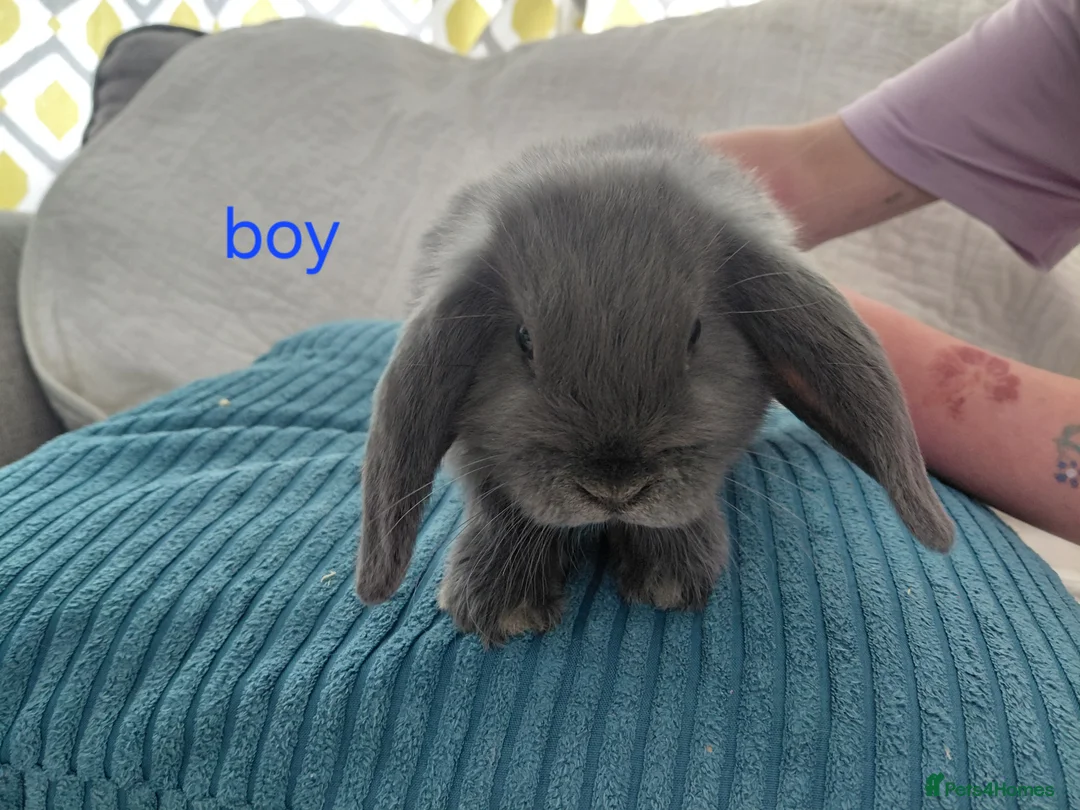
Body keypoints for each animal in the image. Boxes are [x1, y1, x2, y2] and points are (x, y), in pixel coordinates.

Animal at [354, 121, 955, 647]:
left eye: (696, 332)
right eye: (524, 339)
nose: (614, 488)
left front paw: (668, 580)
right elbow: (500, 505)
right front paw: (503, 606)